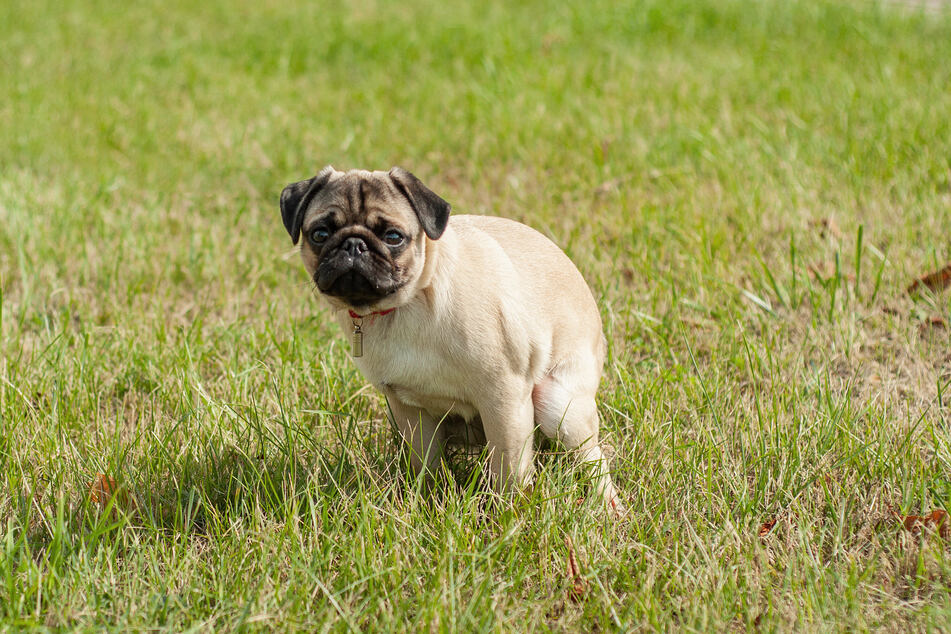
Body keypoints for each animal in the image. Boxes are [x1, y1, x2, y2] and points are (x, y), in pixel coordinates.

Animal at [278, 165, 620, 506]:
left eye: (393, 237)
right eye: (320, 234)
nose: (353, 245)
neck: (408, 305)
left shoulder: (504, 399)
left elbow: (509, 471)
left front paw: (508, 511)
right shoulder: (407, 409)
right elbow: (424, 464)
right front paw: (423, 500)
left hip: (558, 403)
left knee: (592, 459)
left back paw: (606, 504)